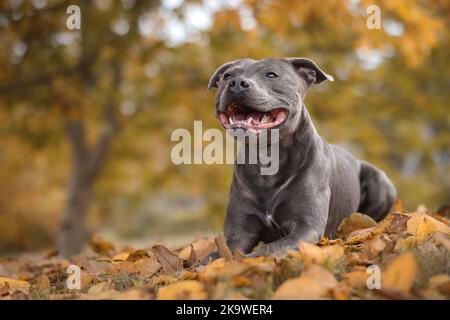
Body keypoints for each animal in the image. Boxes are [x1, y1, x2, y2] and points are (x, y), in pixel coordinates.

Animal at [207, 57, 398, 258]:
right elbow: (213, 257)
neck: (267, 160)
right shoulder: (238, 233)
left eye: (271, 75)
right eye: (227, 76)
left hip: (380, 181)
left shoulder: (306, 228)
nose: (236, 83)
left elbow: (265, 251)